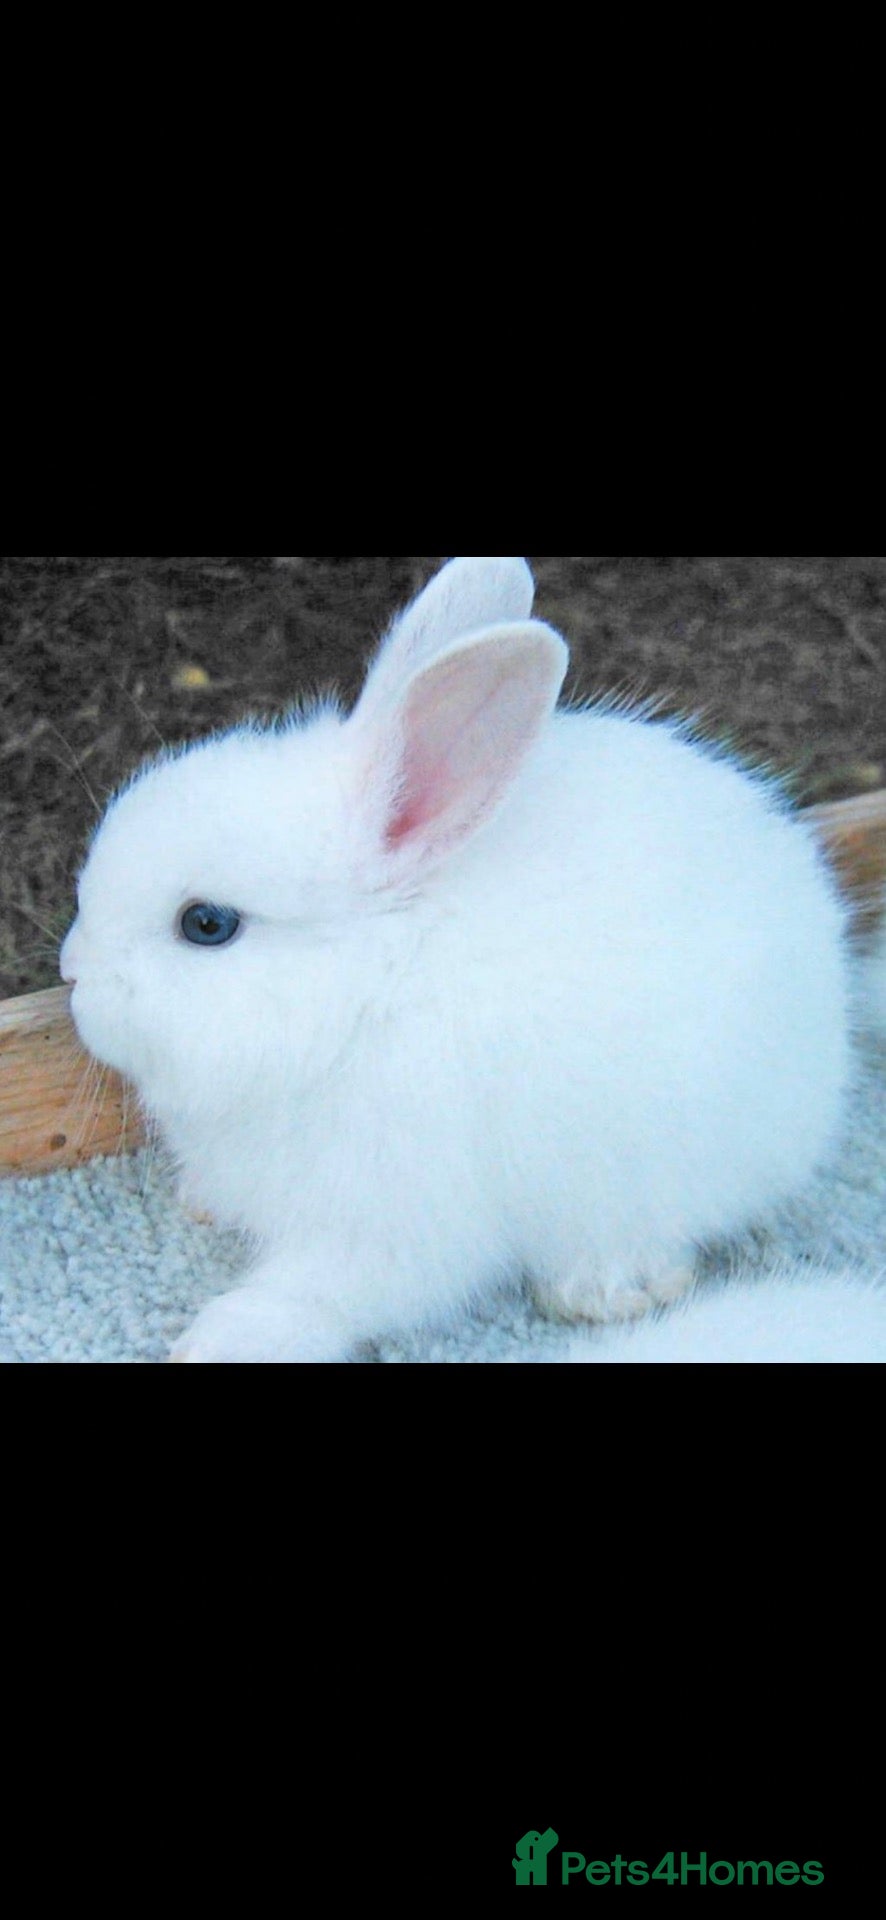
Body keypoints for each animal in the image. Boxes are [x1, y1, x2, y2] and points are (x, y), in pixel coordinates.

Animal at [59, 555, 866, 1363]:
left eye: (207, 924)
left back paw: (607, 1287)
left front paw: (219, 1340)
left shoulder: (395, 1220)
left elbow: (325, 1293)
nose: (71, 972)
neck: (368, 992)